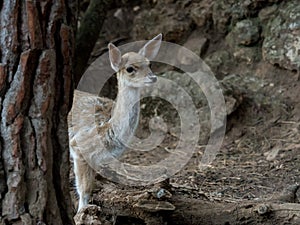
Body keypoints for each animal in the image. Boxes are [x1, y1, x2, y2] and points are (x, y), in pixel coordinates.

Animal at [68, 33, 162, 211]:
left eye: (149, 64)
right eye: (130, 68)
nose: (153, 77)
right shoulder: (78, 147)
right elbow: (84, 190)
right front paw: (81, 212)